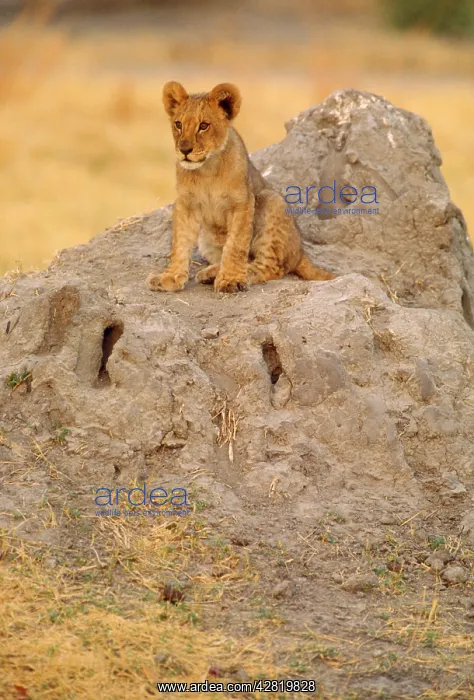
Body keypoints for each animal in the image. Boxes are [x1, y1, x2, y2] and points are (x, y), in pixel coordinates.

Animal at [147, 81, 334, 294]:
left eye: (203, 126)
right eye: (178, 124)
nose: (184, 150)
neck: (207, 169)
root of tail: (300, 251)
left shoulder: (242, 203)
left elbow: (235, 244)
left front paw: (231, 280)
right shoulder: (186, 204)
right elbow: (179, 243)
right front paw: (169, 278)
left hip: (272, 201)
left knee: (269, 266)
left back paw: (228, 274)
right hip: (207, 236)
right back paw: (211, 272)